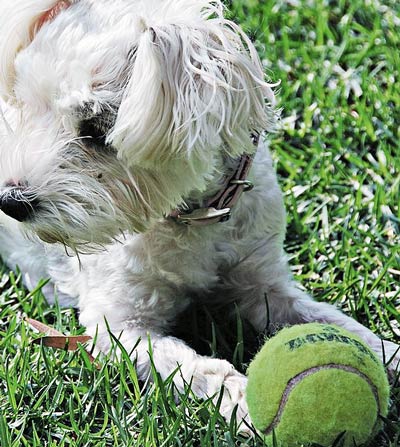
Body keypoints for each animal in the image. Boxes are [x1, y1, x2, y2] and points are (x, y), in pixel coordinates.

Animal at [0, 0, 400, 430]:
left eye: (95, 128)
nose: (11, 202)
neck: (197, 217)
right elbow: (198, 367)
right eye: (23, 110)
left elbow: (333, 322)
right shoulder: (119, 323)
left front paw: (388, 353)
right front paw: (245, 402)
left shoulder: (264, 286)